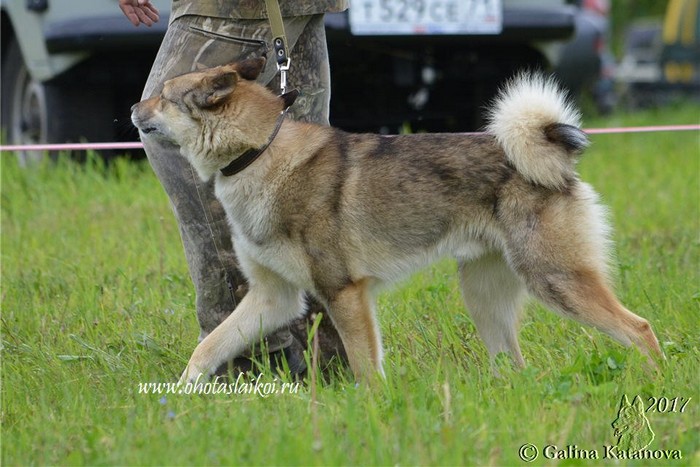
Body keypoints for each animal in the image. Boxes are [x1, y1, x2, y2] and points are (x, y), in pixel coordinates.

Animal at [131, 57, 662, 383]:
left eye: (163, 96)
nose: (134, 107)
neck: (259, 152)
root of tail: (554, 156)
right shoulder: (272, 298)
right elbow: (207, 350)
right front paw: (178, 396)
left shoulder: (343, 293)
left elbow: (367, 368)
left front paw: (373, 412)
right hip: (484, 296)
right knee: (514, 364)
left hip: (555, 280)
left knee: (638, 329)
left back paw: (659, 383)